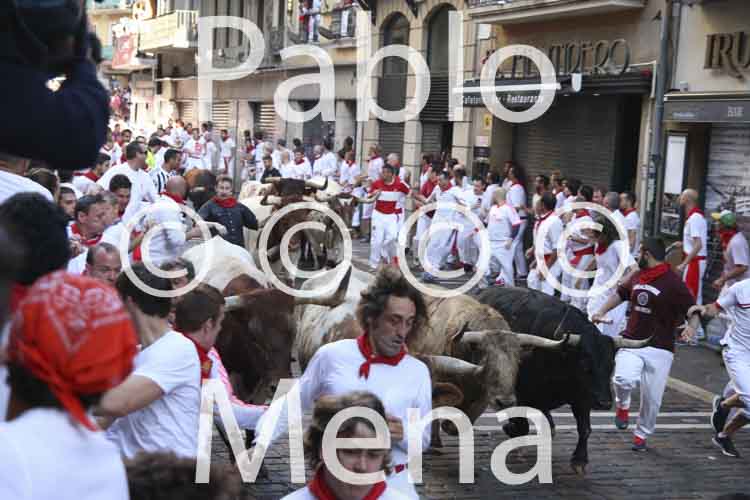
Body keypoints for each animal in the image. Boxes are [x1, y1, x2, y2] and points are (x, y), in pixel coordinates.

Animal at [477, 286, 651, 475]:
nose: (604, 403)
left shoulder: (582, 398)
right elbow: (521, 424)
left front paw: (579, 460)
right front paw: (512, 432)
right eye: (585, 364)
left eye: (612, 364)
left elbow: (585, 428)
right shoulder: (518, 394)